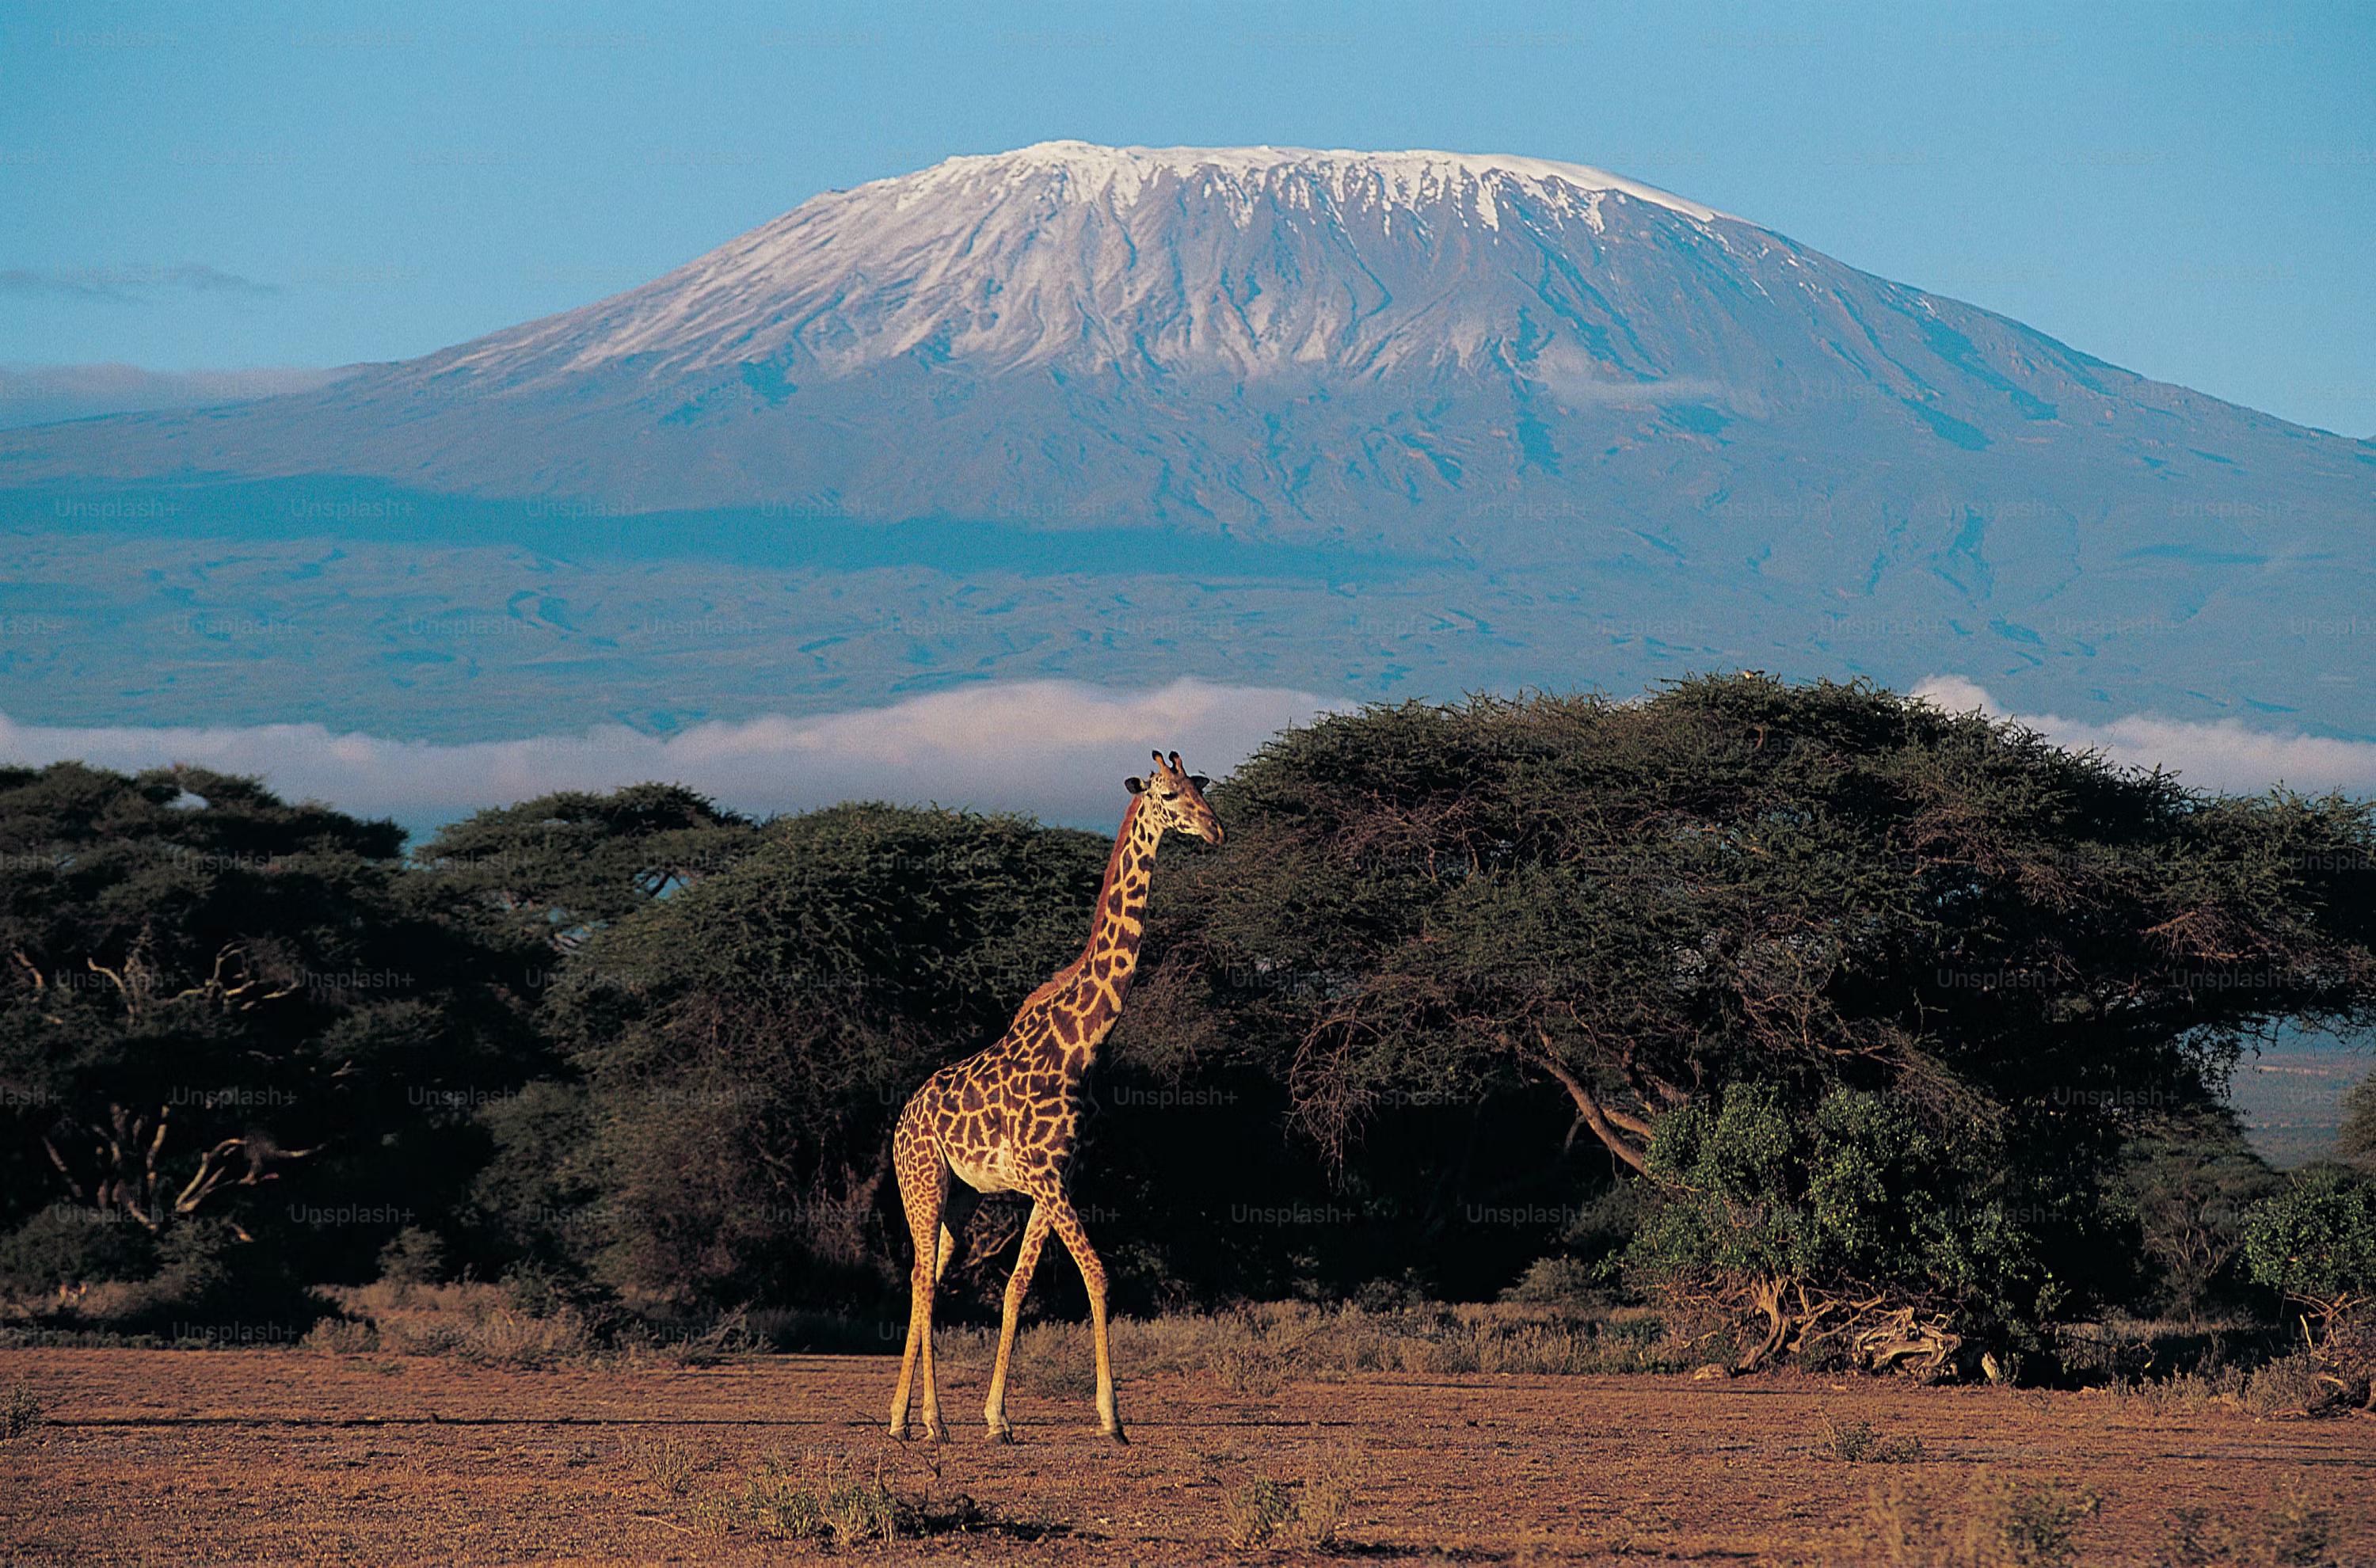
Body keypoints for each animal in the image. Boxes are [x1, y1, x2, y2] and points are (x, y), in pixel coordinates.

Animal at [887, 750, 1223, 1445]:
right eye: (1168, 794)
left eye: (1202, 788)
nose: (1215, 830)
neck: (1082, 1043)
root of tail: (901, 1121)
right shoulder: (1045, 1178)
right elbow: (1097, 1273)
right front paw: (1112, 1420)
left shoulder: (1058, 1178)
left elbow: (1018, 1284)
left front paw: (997, 1418)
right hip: (922, 1181)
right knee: (922, 1278)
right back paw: (929, 1420)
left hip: (960, 1198)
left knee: (928, 1275)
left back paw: (905, 1418)